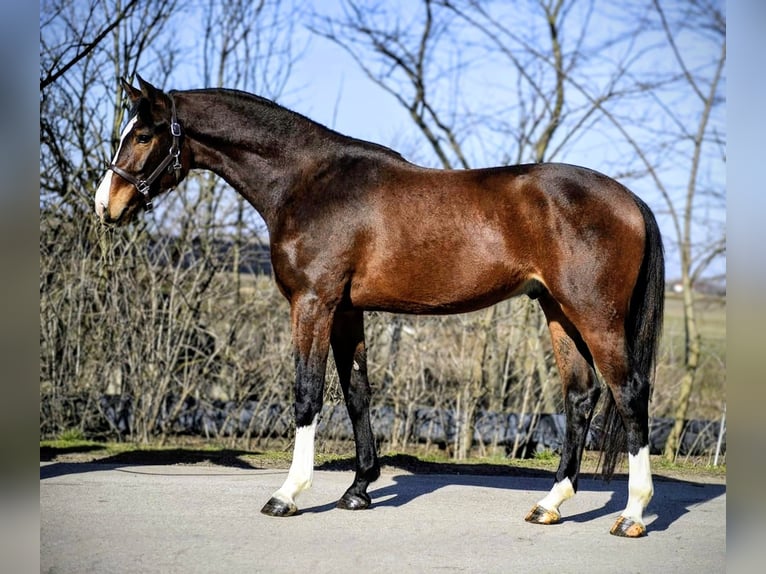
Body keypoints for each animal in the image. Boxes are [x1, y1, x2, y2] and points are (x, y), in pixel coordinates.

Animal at [94, 75, 664, 537]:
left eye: (143, 135)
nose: (106, 205)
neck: (307, 183)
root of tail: (630, 200)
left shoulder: (313, 303)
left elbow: (307, 394)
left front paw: (287, 494)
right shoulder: (347, 311)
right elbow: (356, 394)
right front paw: (358, 489)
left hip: (596, 316)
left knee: (630, 393)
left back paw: (632, 514)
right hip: (558, 311)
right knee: (581, 396)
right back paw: (551, 504)